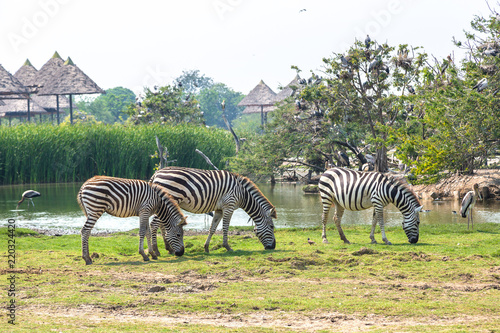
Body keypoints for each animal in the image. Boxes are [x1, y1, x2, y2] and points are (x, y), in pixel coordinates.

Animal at [148, 166, 278, 254]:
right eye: (272, 227)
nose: (273, 247)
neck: (243, 193)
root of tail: (157, 173)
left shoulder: (219, 209)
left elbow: (212, 228)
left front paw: (206, 247)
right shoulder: (229, 206)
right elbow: (225, 227)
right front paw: (227, 247)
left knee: (162, 224)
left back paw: (169, 248)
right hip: (169, 199)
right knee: (154, 224)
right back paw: (156, 251)